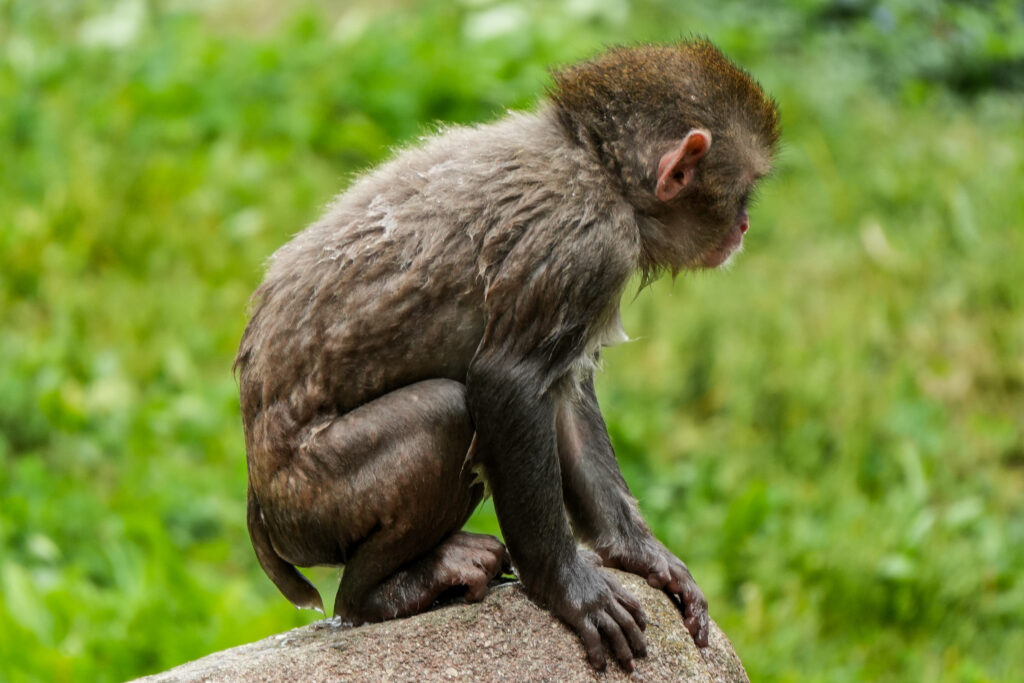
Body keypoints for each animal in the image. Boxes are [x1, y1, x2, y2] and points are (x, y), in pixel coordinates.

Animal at [235, 39, 779, 671]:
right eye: (744, 190)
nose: (746, 224)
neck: (595, 164)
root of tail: (261, 507)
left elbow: (565, 400)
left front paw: (641, 555)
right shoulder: (588, 245)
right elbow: (508, 384)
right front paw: (569, 588)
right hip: (313, 505)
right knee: (445, 415)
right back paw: (378, 593)